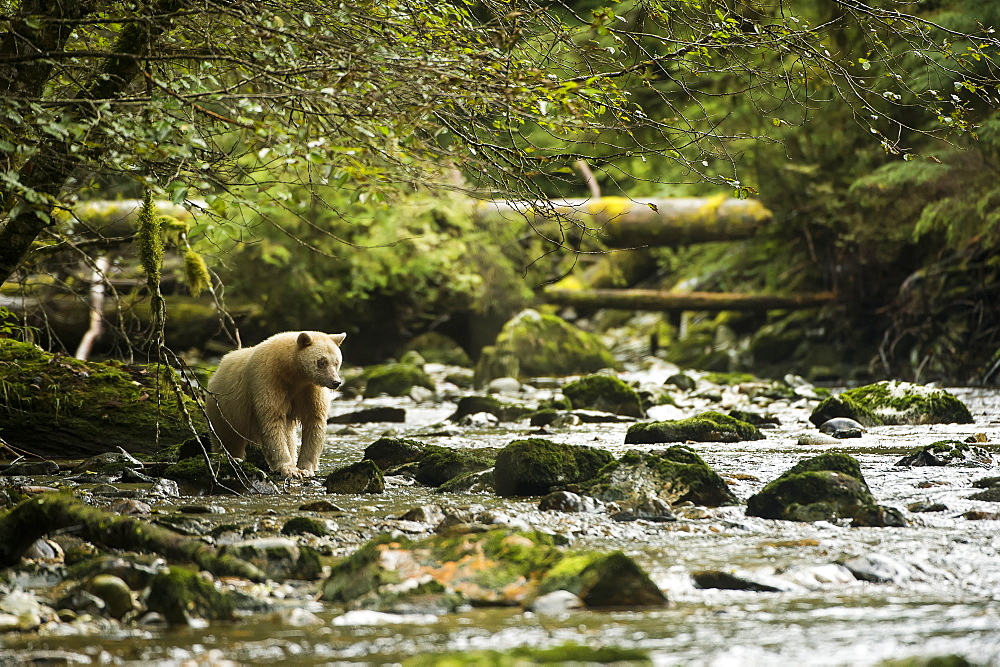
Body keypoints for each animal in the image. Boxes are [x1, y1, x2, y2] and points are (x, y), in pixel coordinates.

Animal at [205, 330, 346, 478]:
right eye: (322, 362)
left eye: (336, 362)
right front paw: (290, 469)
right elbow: (272, 421)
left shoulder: (310, 389)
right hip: (224, 409)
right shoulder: (268, 380)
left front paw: (305, 469)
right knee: (227, 439)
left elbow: (314, 421)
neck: (293, 372)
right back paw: (229, 457)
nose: (336, 382)